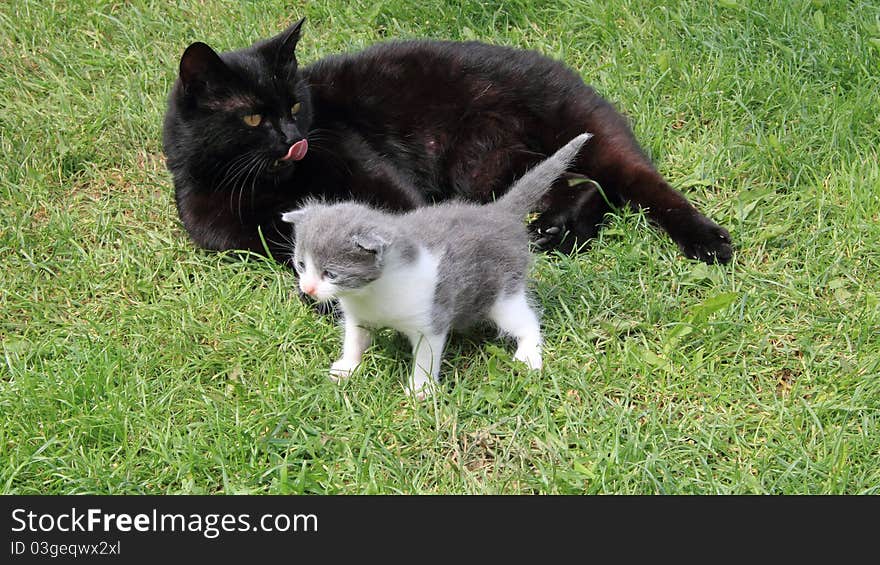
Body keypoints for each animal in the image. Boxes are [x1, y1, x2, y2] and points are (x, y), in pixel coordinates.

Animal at [165, 18, 736, 270]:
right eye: (254, 117)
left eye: (295, 107)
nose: (294, 137)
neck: (266, 185)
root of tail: (567, 75)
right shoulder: (244, 236)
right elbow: (293, 246)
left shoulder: (382, 180)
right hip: (492, 167)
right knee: (588, 187)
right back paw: (555, 234)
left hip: (508, 155)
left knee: (639, 185)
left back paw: (707, 242)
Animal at [282, 133, 596, 396]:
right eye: (301, 265)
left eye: (330, 273)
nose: (307, 290)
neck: (371, 293)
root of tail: (499, 213)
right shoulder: (359, 317)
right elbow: (354, 340)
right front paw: (348, 367)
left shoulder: (430, 321)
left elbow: (425, 358)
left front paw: (420, 391)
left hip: (504, 296)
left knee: (527, 320)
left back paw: (529, 355)